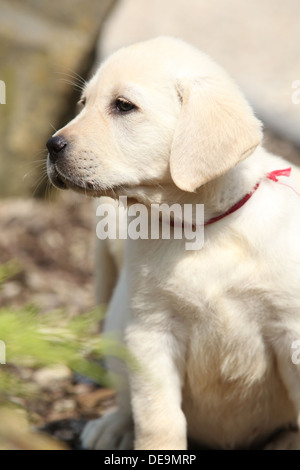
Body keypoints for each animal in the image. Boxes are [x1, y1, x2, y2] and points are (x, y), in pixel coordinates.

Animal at [46, 35, 300, 448]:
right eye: (83, 104)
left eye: (123, 106)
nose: (51, 145)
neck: (203, 228)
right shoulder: (150, 332)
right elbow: (158, 418)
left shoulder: (291, 332)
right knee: (125, 397)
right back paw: (114, 427)